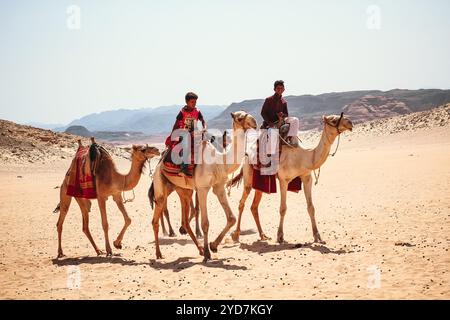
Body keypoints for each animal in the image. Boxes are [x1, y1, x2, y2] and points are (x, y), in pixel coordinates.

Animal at [149, 111, 256, 262]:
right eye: (240, 118)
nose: (254, 122)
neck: (219, 162)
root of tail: (159, 165)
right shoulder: (202, 189)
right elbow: (205, 223)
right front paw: (207, 253)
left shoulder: (219, 187)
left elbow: (231, 218)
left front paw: (213, 246)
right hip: (160, 187)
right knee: (155, 220)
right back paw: (159, 254)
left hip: (183, 190)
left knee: (184, 220)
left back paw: (198, 248)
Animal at [229, 114, 352, 242]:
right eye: (333, 120)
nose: (350, 123)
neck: (304, 157)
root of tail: (247, 155)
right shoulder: (284, 180)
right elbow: (283, 208)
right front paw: (280, 236)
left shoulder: (306, 177)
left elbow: (311, 207)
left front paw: (317, 236)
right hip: (248, 177)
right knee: (242, 202)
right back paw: (236, 235)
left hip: (260, 182)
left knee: (254, 206)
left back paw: (263, 235)